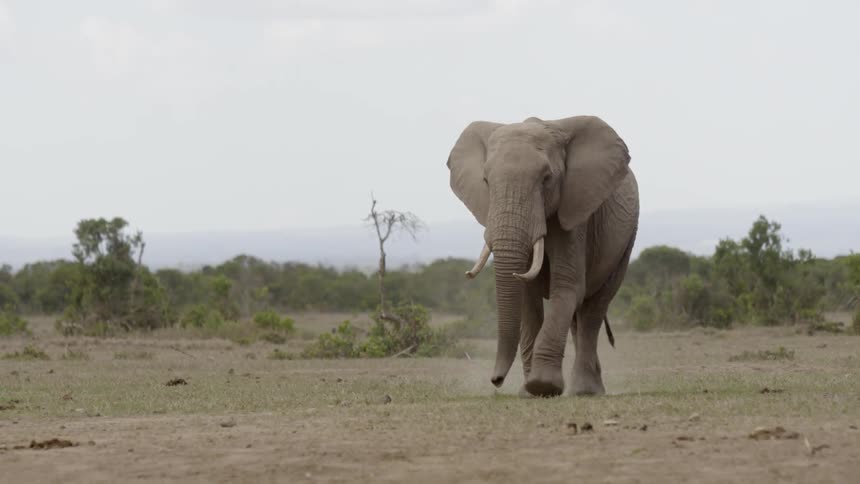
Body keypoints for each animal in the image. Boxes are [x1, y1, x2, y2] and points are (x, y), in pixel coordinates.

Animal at [446, 115, 639, 397]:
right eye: (486, 181)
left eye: (546, 179)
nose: (496, 380)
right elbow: (527, 297)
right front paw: (529, 392)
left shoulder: (575, 211)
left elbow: (567, 287)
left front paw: (542, 386)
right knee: (578, 318)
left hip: (626, 240)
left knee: (594, 309)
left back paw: (585, 391)